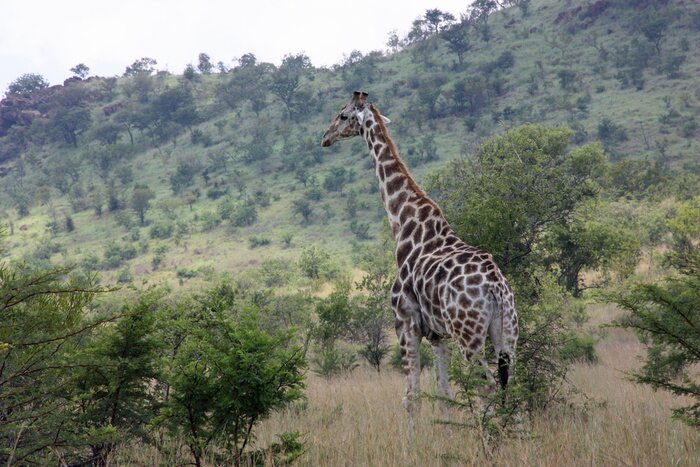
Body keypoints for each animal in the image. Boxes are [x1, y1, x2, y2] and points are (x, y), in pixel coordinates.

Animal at [321, 91, 518, 429]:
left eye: (343, 115)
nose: (325, 137)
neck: (404, 222)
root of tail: (495, 286)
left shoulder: (405, 323)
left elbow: (411, 398)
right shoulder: (438, 335)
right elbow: (444, 394)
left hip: (469, 336)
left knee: (488, 386)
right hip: (508, 334)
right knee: (512, 386)